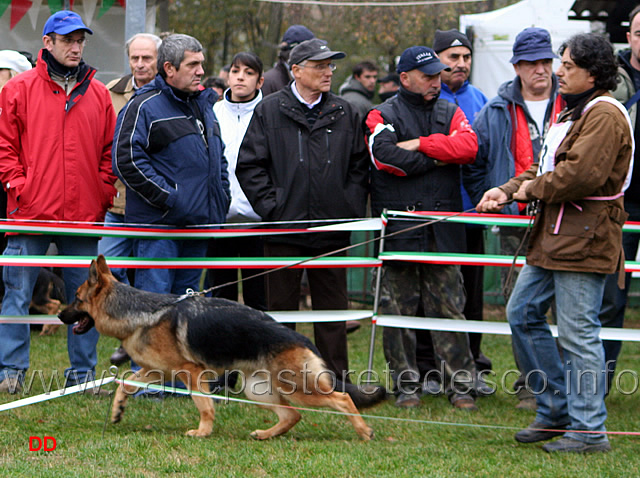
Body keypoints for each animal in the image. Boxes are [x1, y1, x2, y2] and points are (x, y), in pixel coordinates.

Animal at [58, 258, 384, 440]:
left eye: (76, 298)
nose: (60, 315)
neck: (137, 312)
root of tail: (300, 338)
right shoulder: (156, 372)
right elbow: (124, 384)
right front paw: (117, 411)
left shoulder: (191, 373)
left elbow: (204, 405)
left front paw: (202, 432)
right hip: (259, 390)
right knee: (292, 416)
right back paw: (265, 435)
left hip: (299, 388)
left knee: (342, 398)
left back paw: (364, 432)